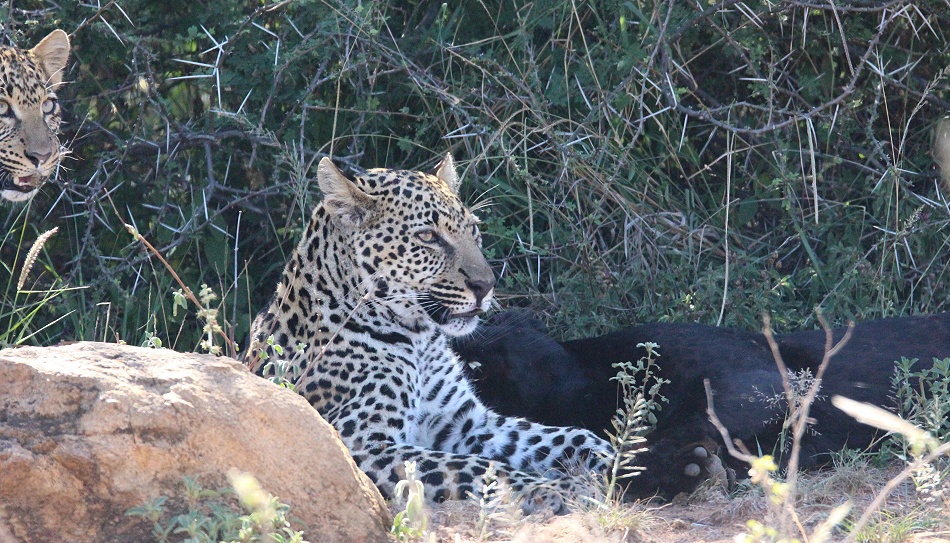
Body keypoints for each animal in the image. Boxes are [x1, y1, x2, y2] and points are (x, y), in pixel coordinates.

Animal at [242, 154, 613, 512]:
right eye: (427, 237)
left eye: (473, 230)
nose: (486, 285)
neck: (419, 339)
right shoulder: (362, 443)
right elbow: (481, 467)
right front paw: (560, 488)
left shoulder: (466, 422)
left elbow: (561, 437)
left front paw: (613, 458)